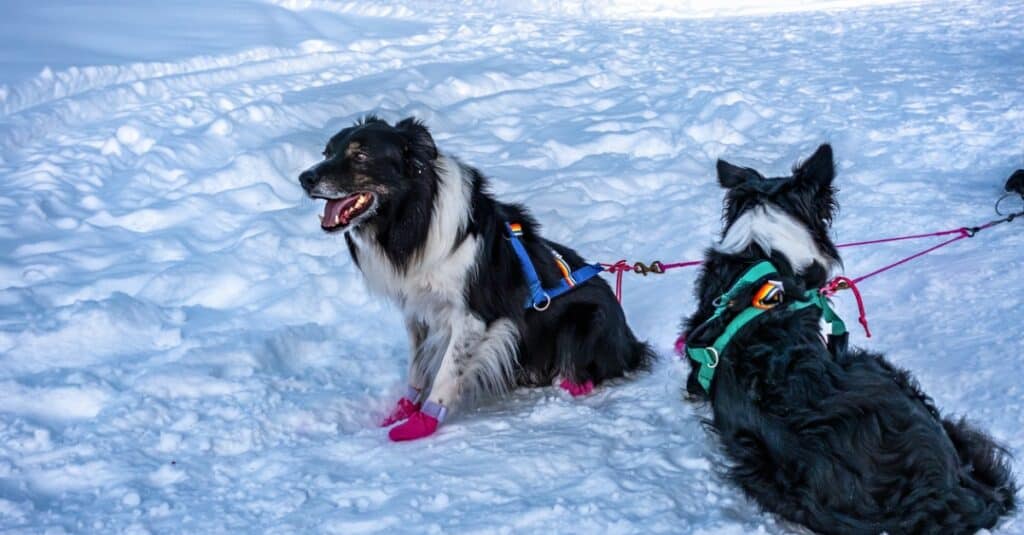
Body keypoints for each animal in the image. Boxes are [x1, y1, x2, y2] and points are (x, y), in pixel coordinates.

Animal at [296, 116, 651, 440]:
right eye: (327, 152)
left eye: (360, 155)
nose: (304, 178)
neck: (412, 217)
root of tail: (633, 344)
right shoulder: (418, 310)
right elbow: (418, 367)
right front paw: (404, 410)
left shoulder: (472, 317)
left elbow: (446, 372)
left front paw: (422, 423)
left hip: (586, 321)